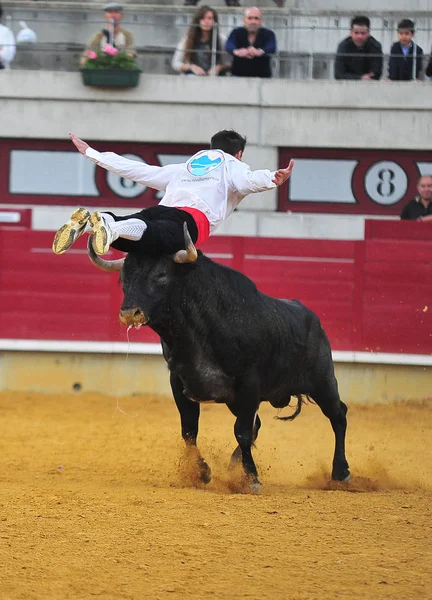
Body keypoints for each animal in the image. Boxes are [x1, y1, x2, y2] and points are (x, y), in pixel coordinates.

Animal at [88, 230, 352, 492]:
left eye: (161, 275)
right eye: (123, 279)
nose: (129, 314)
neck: (196, 331)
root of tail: (312, 319)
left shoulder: (249, 382)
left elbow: (242, 432)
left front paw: (252, 478)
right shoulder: (180, 381)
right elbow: (190, 430)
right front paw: (201, 471)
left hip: (323, 382)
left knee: (338, 415)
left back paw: (341, 473)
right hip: (239, 399)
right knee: (258, 425)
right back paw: (234, 465)